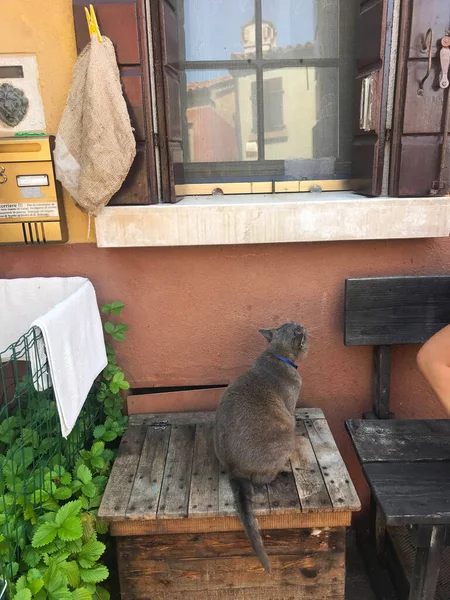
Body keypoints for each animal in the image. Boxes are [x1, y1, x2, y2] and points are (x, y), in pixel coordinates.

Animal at [214, 324, 306, 572]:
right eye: (295, 326)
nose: (302, 327)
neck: (277, 355)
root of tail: (233, 470)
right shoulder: (290, 408)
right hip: (284, 436)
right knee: (262, 479)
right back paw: (283, 468)